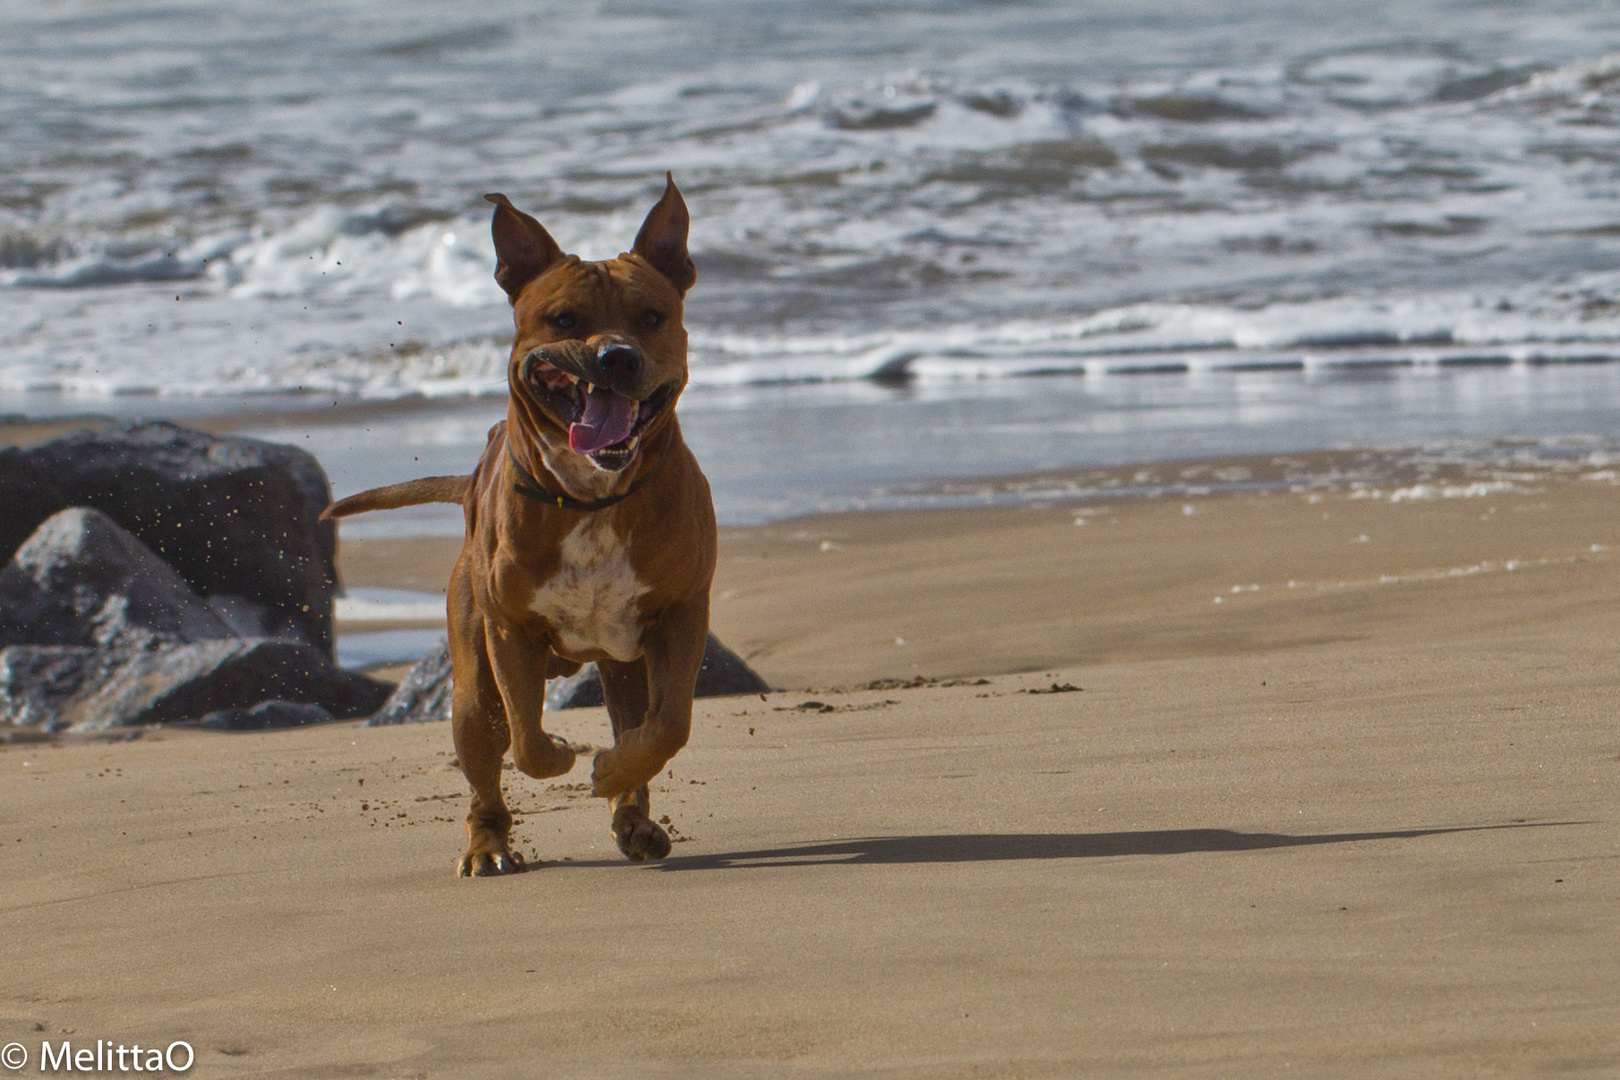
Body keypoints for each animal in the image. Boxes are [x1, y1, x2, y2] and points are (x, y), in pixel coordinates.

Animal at [322, 175, 716, 867]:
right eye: (564, 320)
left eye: (651, 317)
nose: (616, 358)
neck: (591, 499)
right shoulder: (508, 633)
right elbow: (528, 741)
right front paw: (560, 755)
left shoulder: (683, 609)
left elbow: (669, 724)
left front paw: (616, 770)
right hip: (469, 680)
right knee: (487, 749)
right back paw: (487, 845)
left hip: (622, 666)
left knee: (635, 719)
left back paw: (632, 817)